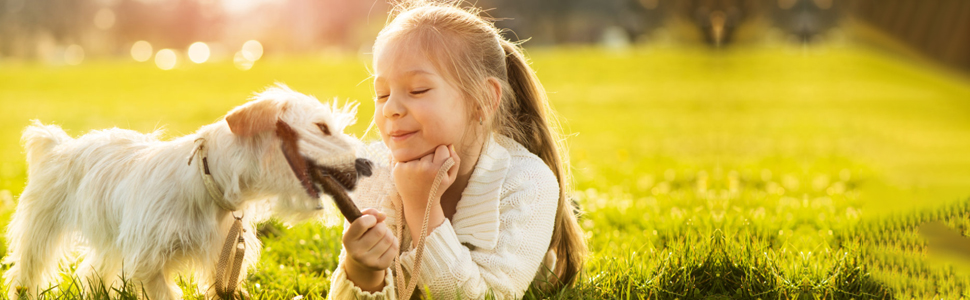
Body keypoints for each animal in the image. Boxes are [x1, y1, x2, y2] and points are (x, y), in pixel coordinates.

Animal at [3, 84, 368, 300]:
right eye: (321, 128)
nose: (366, 164)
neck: (208, 181)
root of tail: (60, 144)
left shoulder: (220, 262)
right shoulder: (149, 263)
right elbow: (165, 292)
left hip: (114, 238)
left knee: (92, 271)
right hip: (41, 231)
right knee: (26, 271)